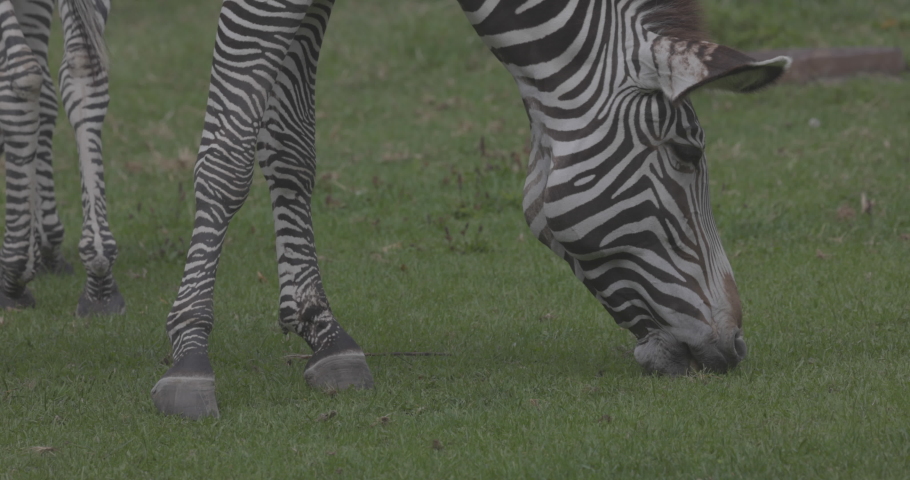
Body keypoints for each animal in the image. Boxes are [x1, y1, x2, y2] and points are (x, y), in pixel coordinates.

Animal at [151, 0, 790, 419]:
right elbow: (229, 155)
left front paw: (322, 332)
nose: (735, 348)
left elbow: (291, 146)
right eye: (686, 153)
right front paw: (189, 356)